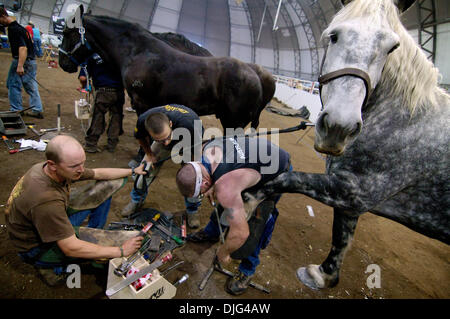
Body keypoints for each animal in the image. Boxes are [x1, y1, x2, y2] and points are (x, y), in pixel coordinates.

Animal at [57, 10, 274, 130]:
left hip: (234, 122)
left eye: (67, 32)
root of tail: (255, 74)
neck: (138, 51)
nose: (62, 62)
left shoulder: (142, 102)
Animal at [246, 0, 450, 290]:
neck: (404, 120)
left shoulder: (358, 192)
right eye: (333, 35)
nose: (338, 128)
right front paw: (323, 275)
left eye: (392, 48)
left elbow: (285, 179)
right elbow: (341, 235)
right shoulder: (349, 194)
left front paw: (244, 204)